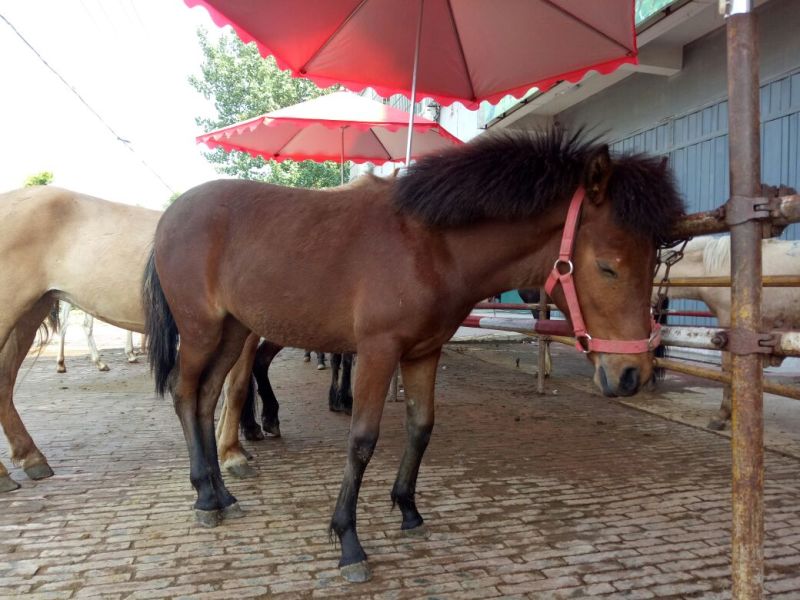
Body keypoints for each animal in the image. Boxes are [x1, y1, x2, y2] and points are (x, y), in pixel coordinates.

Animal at [143, 128, 684, 582]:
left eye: (655, 262)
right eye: (607, 267)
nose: (632, 373)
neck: (427, 245)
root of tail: (171, 216)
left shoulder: (424, 353)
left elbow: (421, 428)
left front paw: (407, 509)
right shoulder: (377, 351)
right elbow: (362, 440)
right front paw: (349, 543)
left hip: (233, 332)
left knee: (206, 400)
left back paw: (221, 494)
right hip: (201, 331)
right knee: (186, 395)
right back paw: (206, 498)